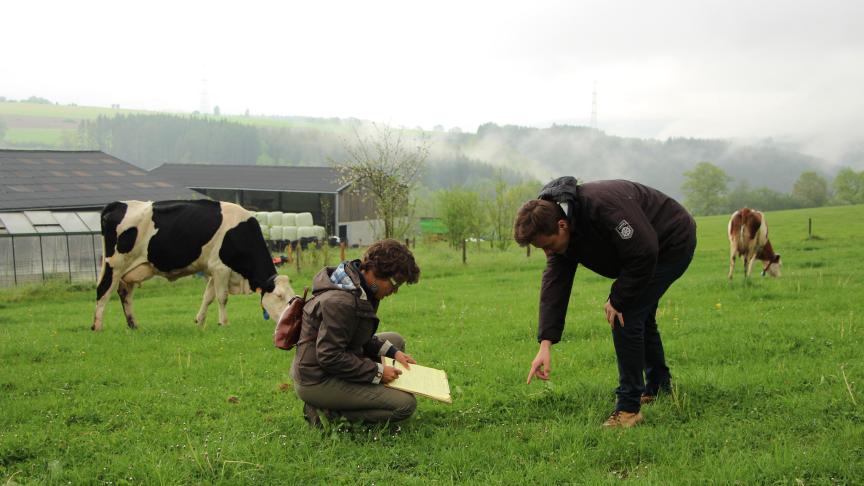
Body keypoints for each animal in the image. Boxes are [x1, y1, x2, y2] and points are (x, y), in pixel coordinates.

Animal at [90, 199, 294, 332]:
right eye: (279, 295)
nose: (287, 322)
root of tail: (118, 204)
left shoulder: (213, 270)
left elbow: (208, 296)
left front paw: (200, 322)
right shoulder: (220, 268)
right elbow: (222, 297)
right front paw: (223, 323)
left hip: (129, 271)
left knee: (125, 294)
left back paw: (133, 325)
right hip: (114, 264)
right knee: (103, 290)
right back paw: (97, 326)